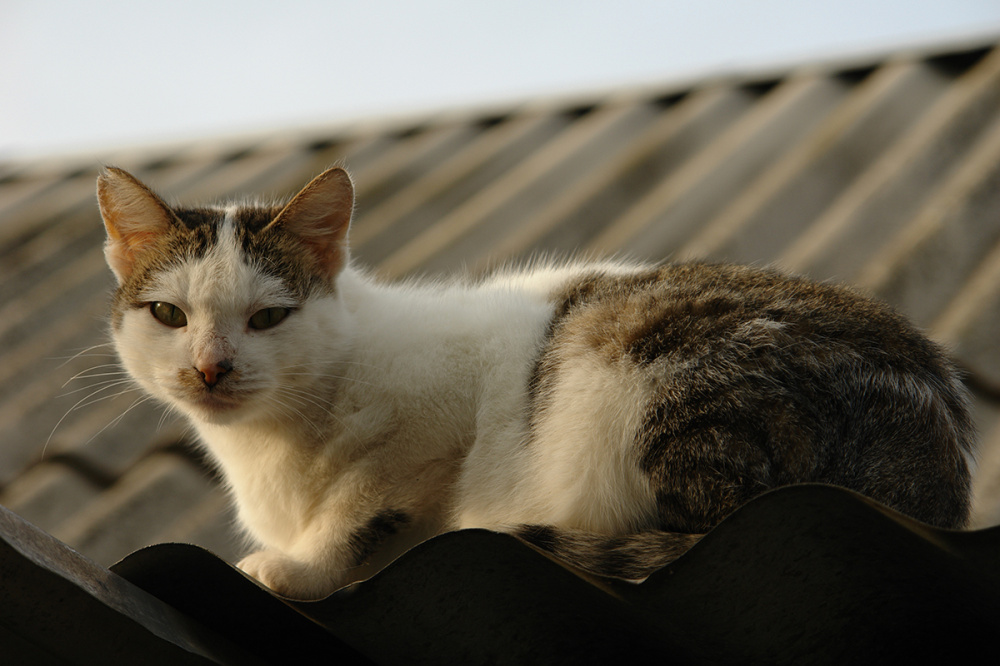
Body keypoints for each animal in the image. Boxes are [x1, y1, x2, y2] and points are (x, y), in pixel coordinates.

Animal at [97, 165, 972, 596]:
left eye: (269, 318)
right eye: (169, 315)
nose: (211, 367)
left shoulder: (433, 429)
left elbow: (366, 504)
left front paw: (298, 565)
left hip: (658, 384)